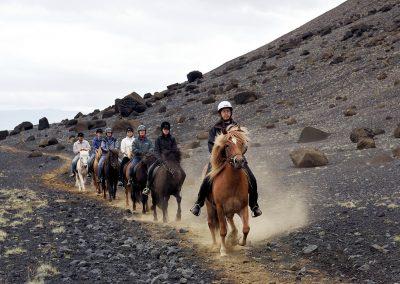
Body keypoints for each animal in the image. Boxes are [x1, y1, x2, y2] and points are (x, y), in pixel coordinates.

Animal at [206, 125, 250, 256]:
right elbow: (222, 230)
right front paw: (223, 251)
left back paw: (233, 237)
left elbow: (246, 228)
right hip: (210, 207)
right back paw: (215, 245)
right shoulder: (220, 208)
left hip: (231, 209)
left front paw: (240, 242)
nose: (239, 161)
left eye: (241, 143)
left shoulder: (243, 206)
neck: (232, 183)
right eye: (227, 145)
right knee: (211, 223)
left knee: (230, 221)